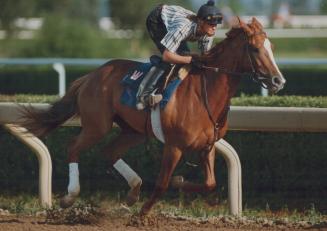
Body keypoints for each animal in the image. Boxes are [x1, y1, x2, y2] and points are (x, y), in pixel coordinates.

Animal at [19, 17, 286, 215]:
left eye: (272, 48)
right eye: (255, 49)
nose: (278, 81)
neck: (204, 93)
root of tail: (91, 75)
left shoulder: (207, 146)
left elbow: (209, 183)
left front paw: (180, 183)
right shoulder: (174, 146)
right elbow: (162, 184)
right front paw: (144, 212)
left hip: (133, 130)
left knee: (110, 151)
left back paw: (132, 192)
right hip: (97, 125)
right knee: (73, 147)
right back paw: (70, 197)